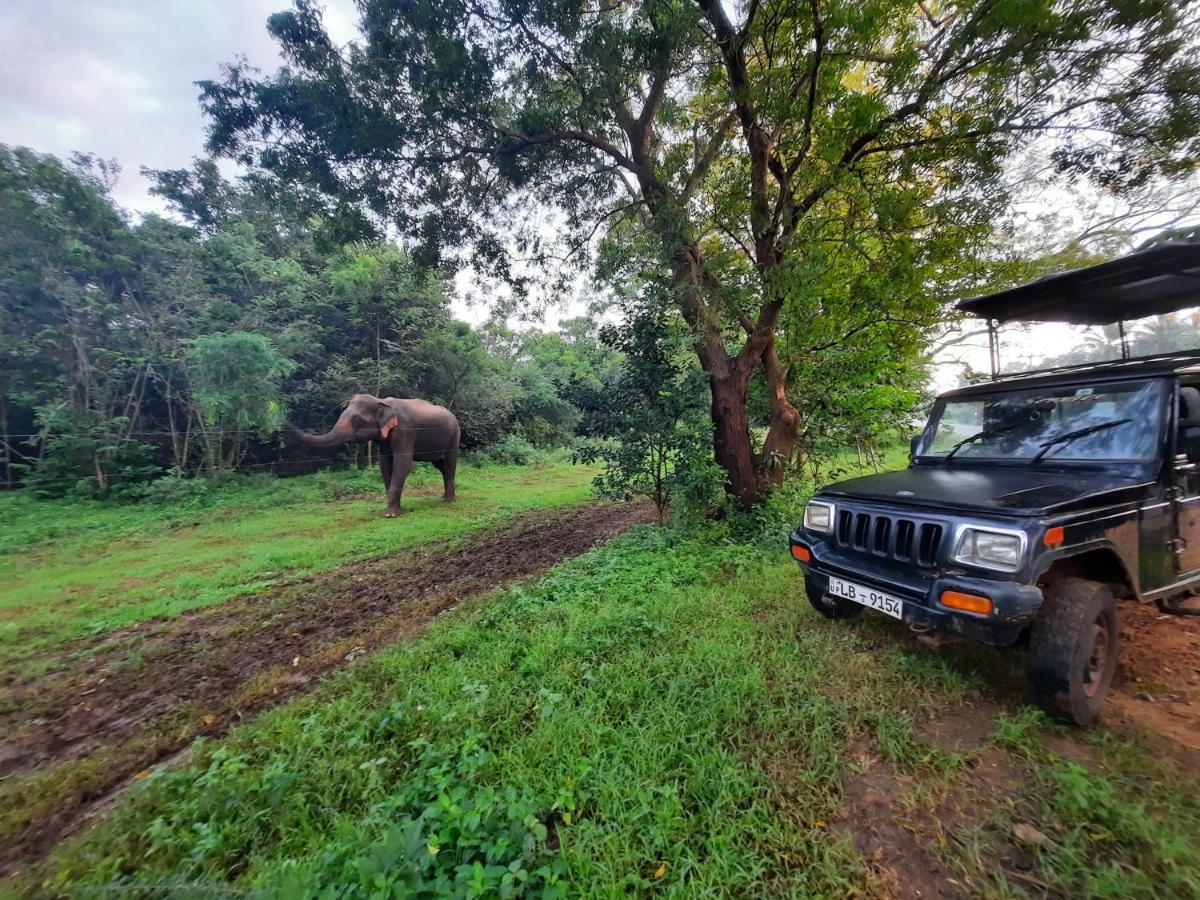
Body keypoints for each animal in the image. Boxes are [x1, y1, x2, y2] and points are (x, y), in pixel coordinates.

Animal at [289, 393, 458, 513]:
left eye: (357, 420)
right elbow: (385, 464)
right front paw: (390, 510)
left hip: (454, 435)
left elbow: (402, 464)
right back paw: (444, 497)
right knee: (441, 466)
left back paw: (449, 501)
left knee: (450, 463)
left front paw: (390, 514)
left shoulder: (406, 430)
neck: (381, 401)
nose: (286, 421)